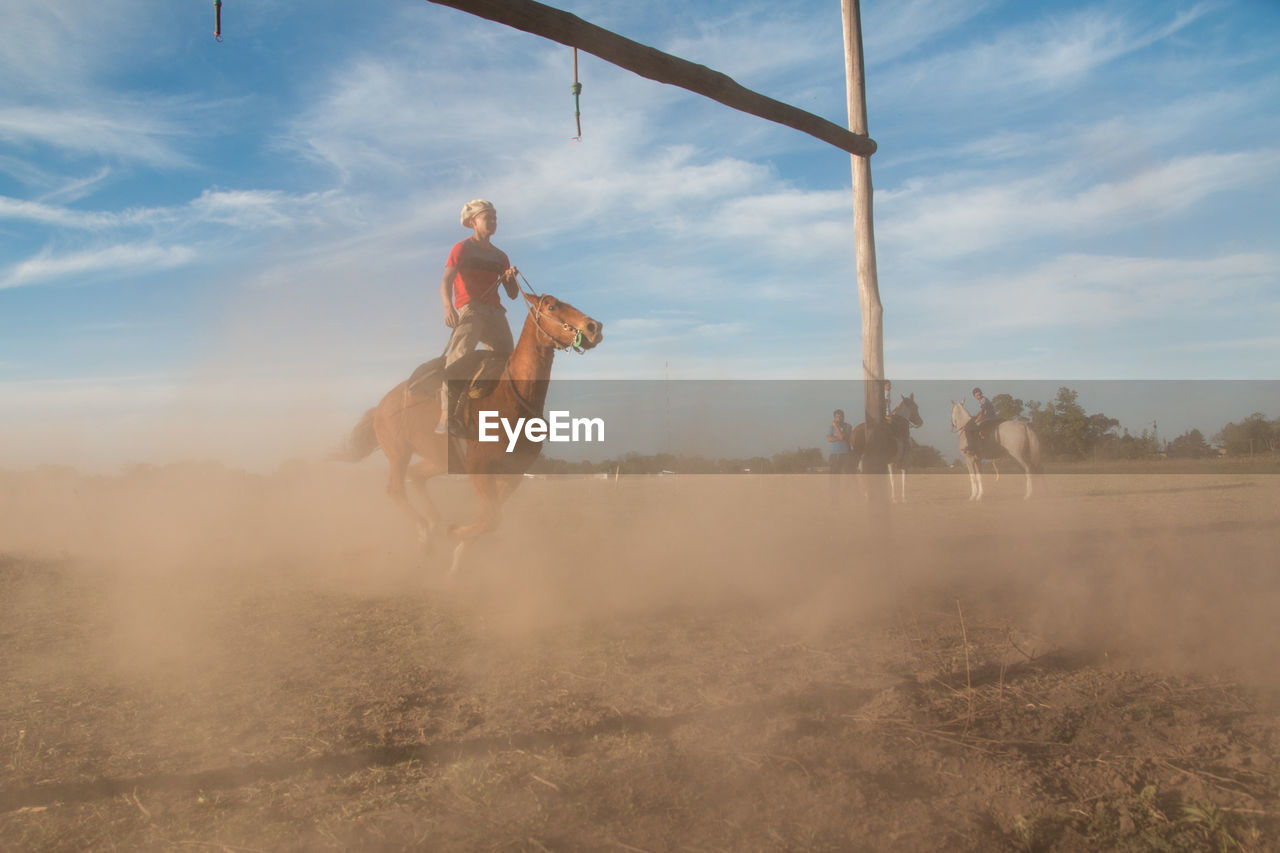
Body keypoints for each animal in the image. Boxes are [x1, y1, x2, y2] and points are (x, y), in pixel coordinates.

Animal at [335, 292, 604, 571]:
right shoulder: (479, 468)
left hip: (442, 459)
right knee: (396, 489)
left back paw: (434, 525)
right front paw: (455, 534)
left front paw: (457, 557)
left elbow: (488, 517)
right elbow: (493, 517)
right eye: (551, 306)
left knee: (417, 475)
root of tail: (381, 406)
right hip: (398, 452)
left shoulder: (513, 473)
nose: (593, 327)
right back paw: (425, 535)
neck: (510, 397)